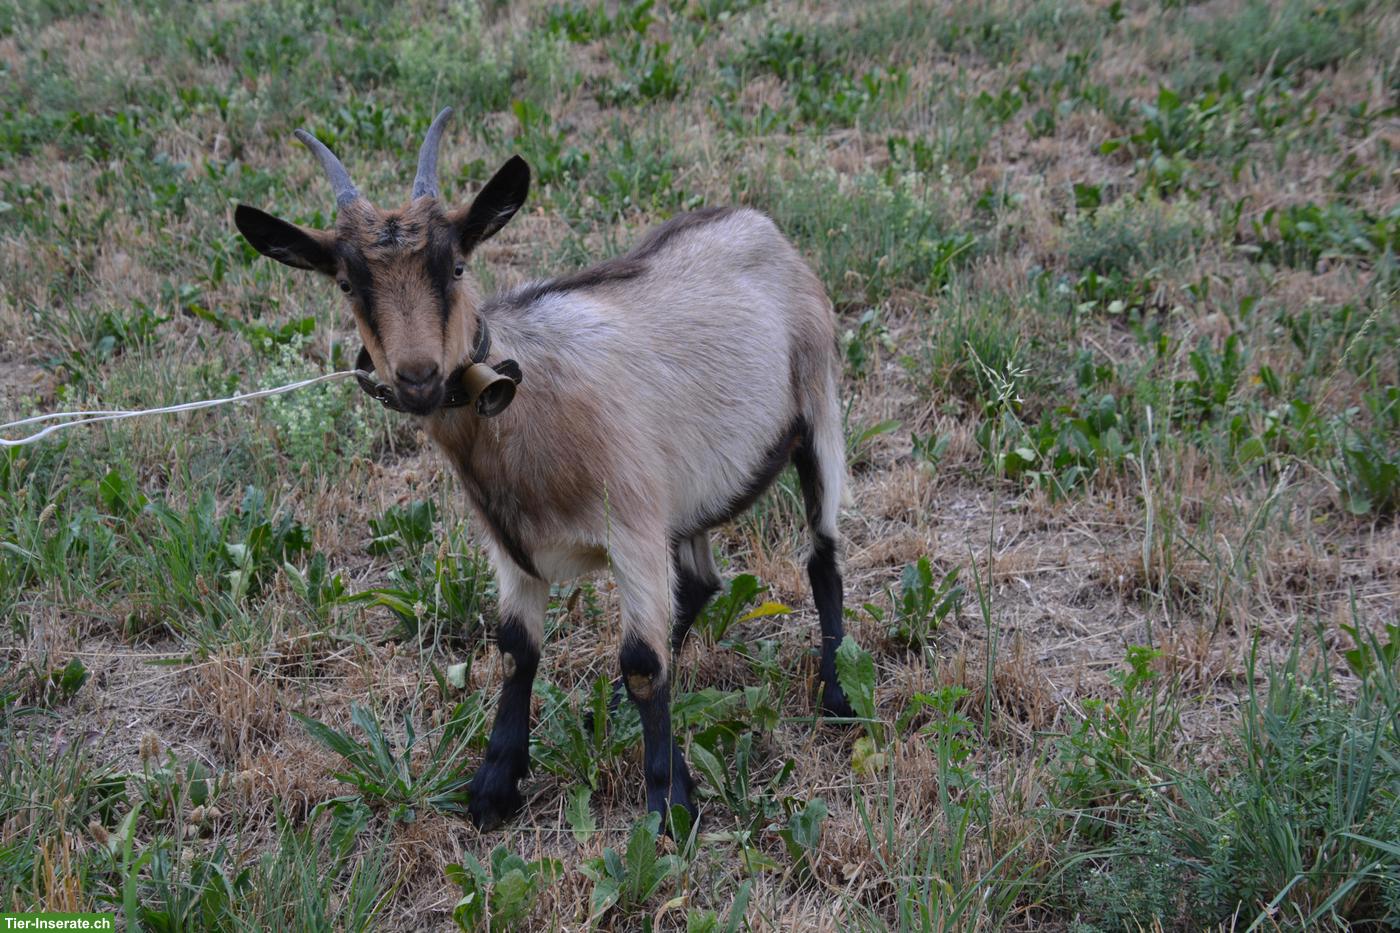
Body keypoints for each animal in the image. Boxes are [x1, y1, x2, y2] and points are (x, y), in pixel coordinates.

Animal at [234, 108, 856, 828]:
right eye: (346, 282)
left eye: (456, 265)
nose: (418, 377)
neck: (524, 410)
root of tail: (763, 226)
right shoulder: (514, 545)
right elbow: (516, 648)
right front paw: (495, 782)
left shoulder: (630, 529)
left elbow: (644, 662)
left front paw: (667, 805)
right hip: (682, 492)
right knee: (700, 581)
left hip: (817, 409)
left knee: (821, 554)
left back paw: (838, 695)